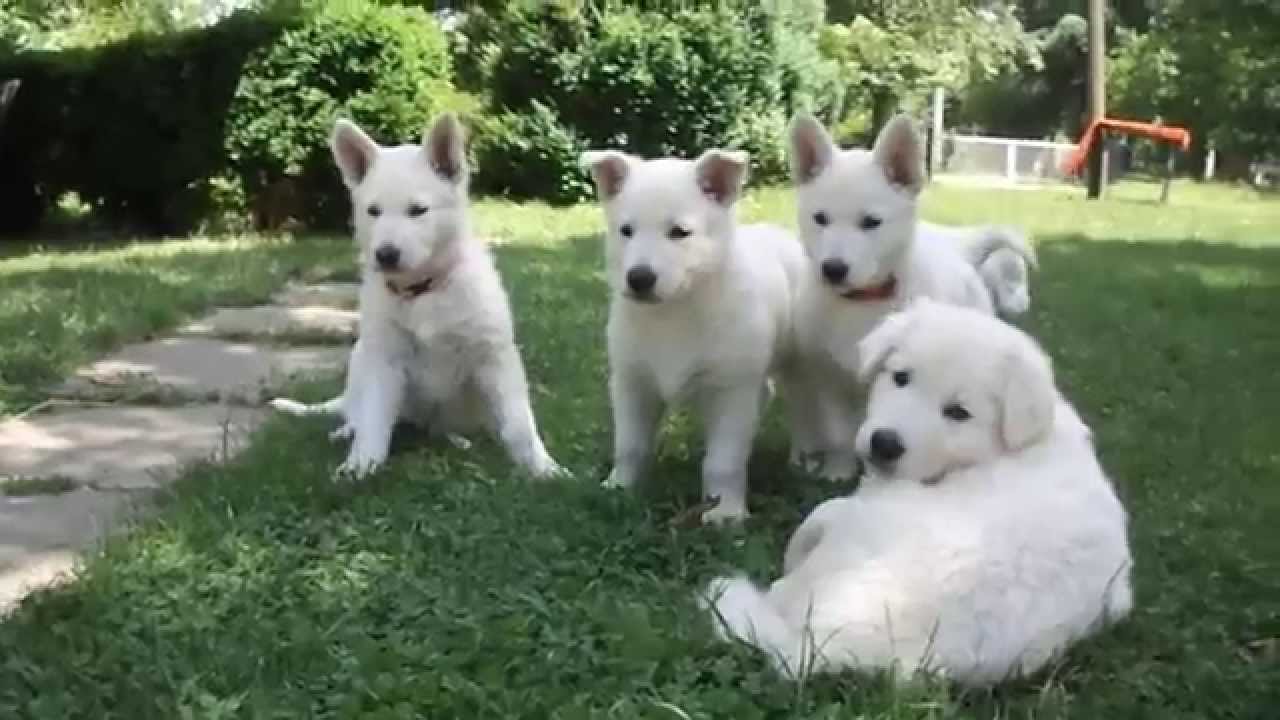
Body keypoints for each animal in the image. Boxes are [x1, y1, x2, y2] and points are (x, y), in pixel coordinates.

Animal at [272, 114, 563, 479]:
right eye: (373, 211)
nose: (385, 255)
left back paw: (458, 441)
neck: (423, 290)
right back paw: (346, 431)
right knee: (359, 413)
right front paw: (360, 466)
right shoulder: (385, 360)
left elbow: (519, 425)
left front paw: (543, 468)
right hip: (361, 357)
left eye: (418, 211)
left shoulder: (494, 356)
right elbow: (374, 421)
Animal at [583, 148, 808, 525]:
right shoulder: (632, 381)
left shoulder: (731, 390)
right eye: (626, 231)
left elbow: (723, 461)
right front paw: (619, 488)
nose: (638, 279)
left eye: (679, 232)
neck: (675, 312)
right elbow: (629, 445)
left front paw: (725, 512)